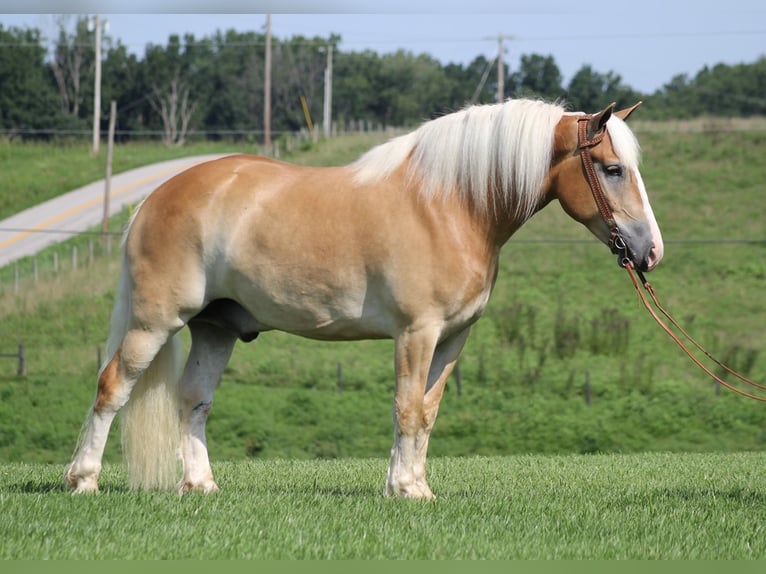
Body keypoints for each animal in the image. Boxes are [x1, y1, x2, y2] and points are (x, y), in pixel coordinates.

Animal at [67, 99, 664, 500]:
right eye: (613, 169)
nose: (650, 251)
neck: (450, 206)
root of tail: (155, 197)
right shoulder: (416, 333)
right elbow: (406, 408)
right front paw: (405, 490)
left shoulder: (453, 339)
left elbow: (427, 411)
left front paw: (414, 485)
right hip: (154, 322)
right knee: (112, 387)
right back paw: (84, 480)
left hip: (216, 329)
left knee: (193, 399)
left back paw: (201, 484)